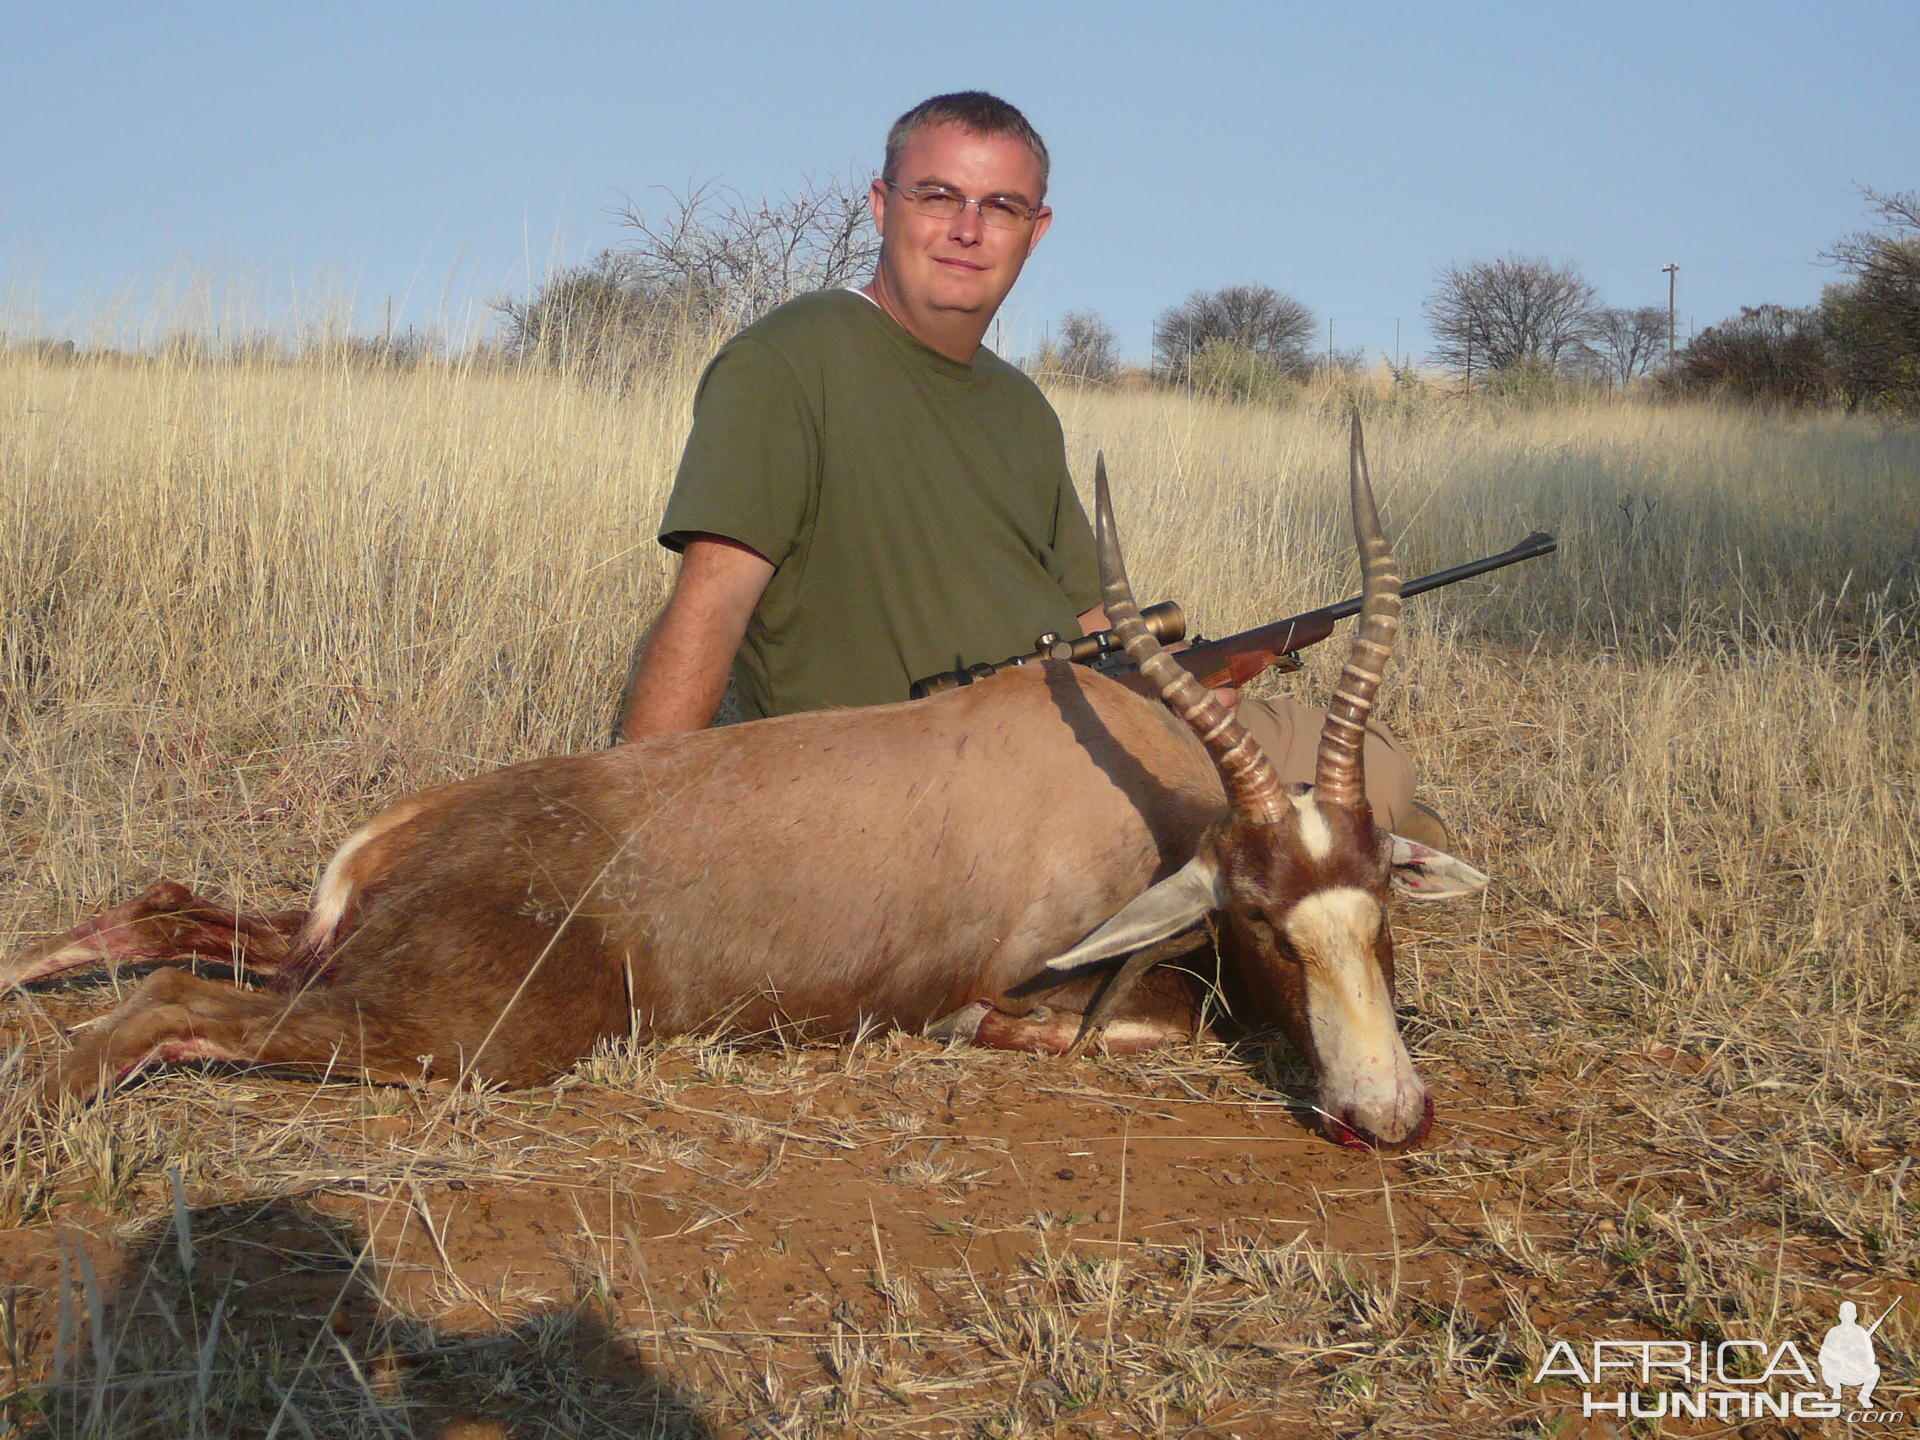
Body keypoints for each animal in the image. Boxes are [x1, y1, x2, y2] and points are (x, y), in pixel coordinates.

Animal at [3, 416, 1482, 1152]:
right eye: (1258, 921)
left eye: (1381, 912)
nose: (1388, 1119)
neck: (1085, 761)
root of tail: (412, 833)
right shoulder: (1023, 986)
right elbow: (1109, 1022)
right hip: (466, 1033)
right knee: (178, 1001)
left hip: (323, 954)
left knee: (164, 916)